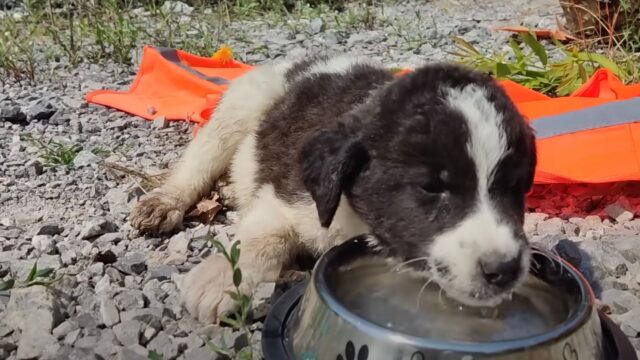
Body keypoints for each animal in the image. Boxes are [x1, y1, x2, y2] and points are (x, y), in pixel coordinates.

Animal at [129, 53, 536, 324]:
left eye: (515, 187)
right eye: (431, 187)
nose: (505, 269)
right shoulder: (288, 197)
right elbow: (264, 235)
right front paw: (223, 279)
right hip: (243, 102)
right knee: (200, 160)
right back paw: (165, 202)